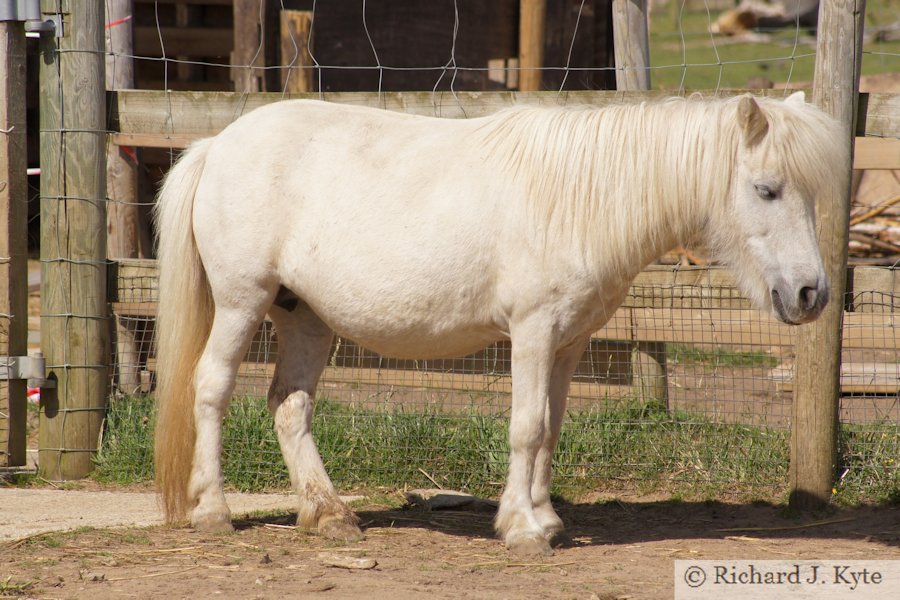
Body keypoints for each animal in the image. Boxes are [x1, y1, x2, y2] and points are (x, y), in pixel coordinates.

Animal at [153, 91, 844, 556]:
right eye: (765, 189)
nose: (811, 293)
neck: (580, 197)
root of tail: (218, 144)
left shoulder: (569, 342)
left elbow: (552, 429)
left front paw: (544, 517)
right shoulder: (533, 331)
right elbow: (527, 426)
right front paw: (524, 529)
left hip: (307, 318)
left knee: (290, 405)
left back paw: (328, 514)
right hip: (242, 302)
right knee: (211, 388)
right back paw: (212, 511)